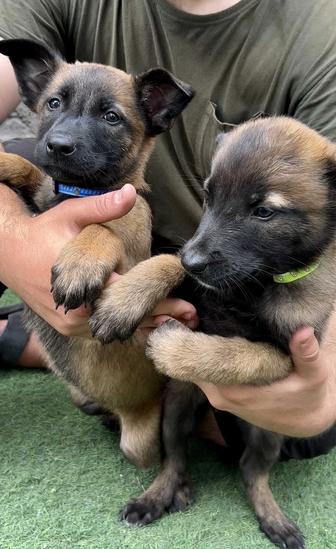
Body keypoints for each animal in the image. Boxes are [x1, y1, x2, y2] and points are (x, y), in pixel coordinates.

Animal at [98, 119, 336, 548]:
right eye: (209, 197)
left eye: (263, 211)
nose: (193, 260)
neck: (254, 288)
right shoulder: (199, 283)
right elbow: (164, 261)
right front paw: (122, 302)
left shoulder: (286, 355)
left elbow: (234, 355)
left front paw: (172, 346)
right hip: (176, 409)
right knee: (175, 458)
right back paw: (159, 496)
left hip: (268, 434)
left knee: (251, 472)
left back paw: (273, 517)